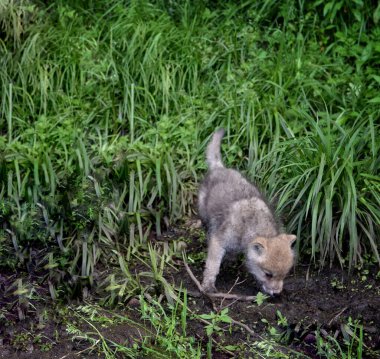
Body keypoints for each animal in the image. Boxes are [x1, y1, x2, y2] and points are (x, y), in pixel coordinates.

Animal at [199, 129, 296, 296]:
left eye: (285, 274)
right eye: (268, 274)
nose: (277, 293)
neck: (249, 226)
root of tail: (219, 167)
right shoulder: (218, 240)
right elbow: (212, 266)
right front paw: (208, 286)